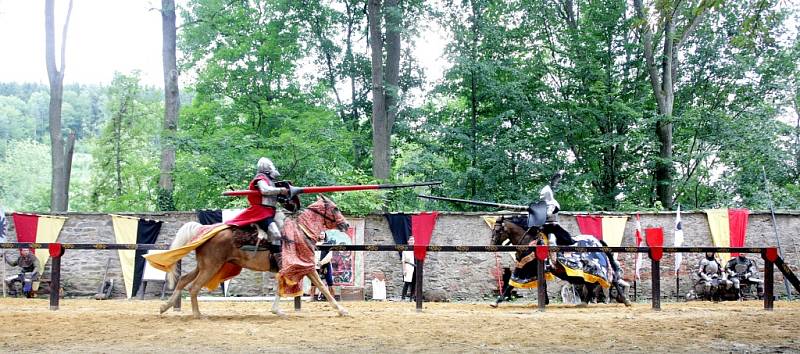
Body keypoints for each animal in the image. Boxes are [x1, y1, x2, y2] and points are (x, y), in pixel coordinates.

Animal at [156, 196, 350, 318]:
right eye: (335, 208)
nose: (346, 224)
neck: (300, 233)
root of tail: (207, 230)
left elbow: (280, 289)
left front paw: (277, 311)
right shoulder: (307, 268)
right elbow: (323, 288)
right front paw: (341, 310)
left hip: (204, 266)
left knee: (183, 280)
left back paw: (165, 307)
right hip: (211, 267)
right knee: (194, 287)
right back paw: (197, 314)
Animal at [488, 216, 632, 306]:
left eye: (497, 229)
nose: (492, 244)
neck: (529, 241)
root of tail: (597, 241)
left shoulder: (525, 268)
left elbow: (510, 284)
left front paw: (497, 301)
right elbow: (542, 285)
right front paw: (545, 301)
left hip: (597, 268)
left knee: (612, 280)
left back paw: (625, 301)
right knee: (592, 285)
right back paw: (584, 302)